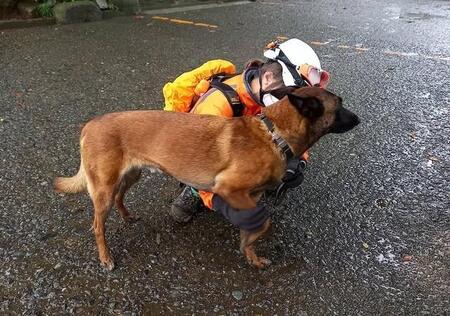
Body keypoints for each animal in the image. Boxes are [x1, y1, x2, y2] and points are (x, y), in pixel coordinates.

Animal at [54, 86, 360, 270]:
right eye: (340, 105)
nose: (359, 119)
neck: (275, 134)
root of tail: (89, 125)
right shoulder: (230, 190)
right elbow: (264, 222)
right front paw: (250, 244)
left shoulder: (250, 197)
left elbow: (254, 225)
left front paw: (250, 252)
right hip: (104, 188)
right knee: (97, 226)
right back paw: (106, 257)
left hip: (131, 175)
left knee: (120, 197)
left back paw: (127, 216)